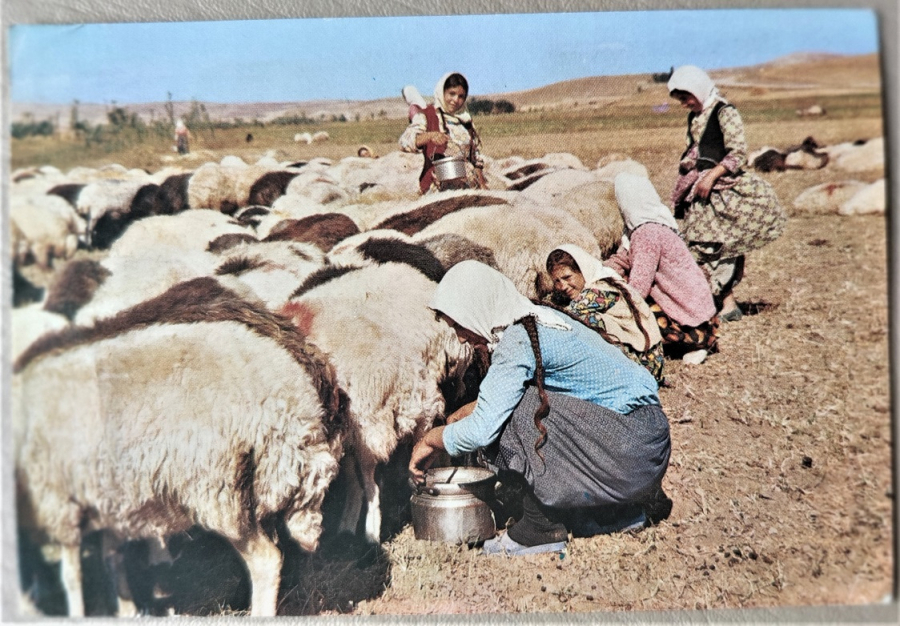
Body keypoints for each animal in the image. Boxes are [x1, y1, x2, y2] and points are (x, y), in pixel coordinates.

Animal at [16, 278, 352, 616]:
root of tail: (298, 401)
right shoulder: (108, 497)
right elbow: (111, 557)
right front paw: (126, 609)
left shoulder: (59, 500)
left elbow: (72, 576)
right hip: (262, 484)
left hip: (219, 488)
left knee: (267, 559)